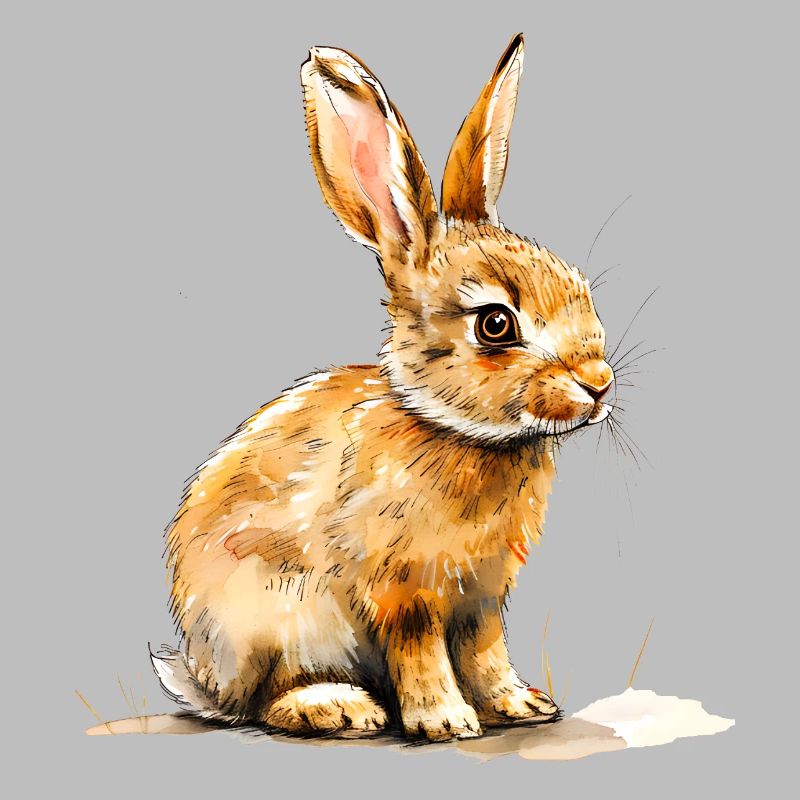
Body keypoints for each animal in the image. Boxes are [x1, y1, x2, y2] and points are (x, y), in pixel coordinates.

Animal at [153, 33, 615, 742]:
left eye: (580, 287)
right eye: (496, 324)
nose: (598, 384)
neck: (459, 432)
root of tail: (204, 679)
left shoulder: (482, 595)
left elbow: (486, 650)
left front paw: (518, 705)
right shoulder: (403, 589)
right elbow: (421, 651)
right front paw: (445, 721)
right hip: (277, 617)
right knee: (265, 702)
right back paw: (338, 707)